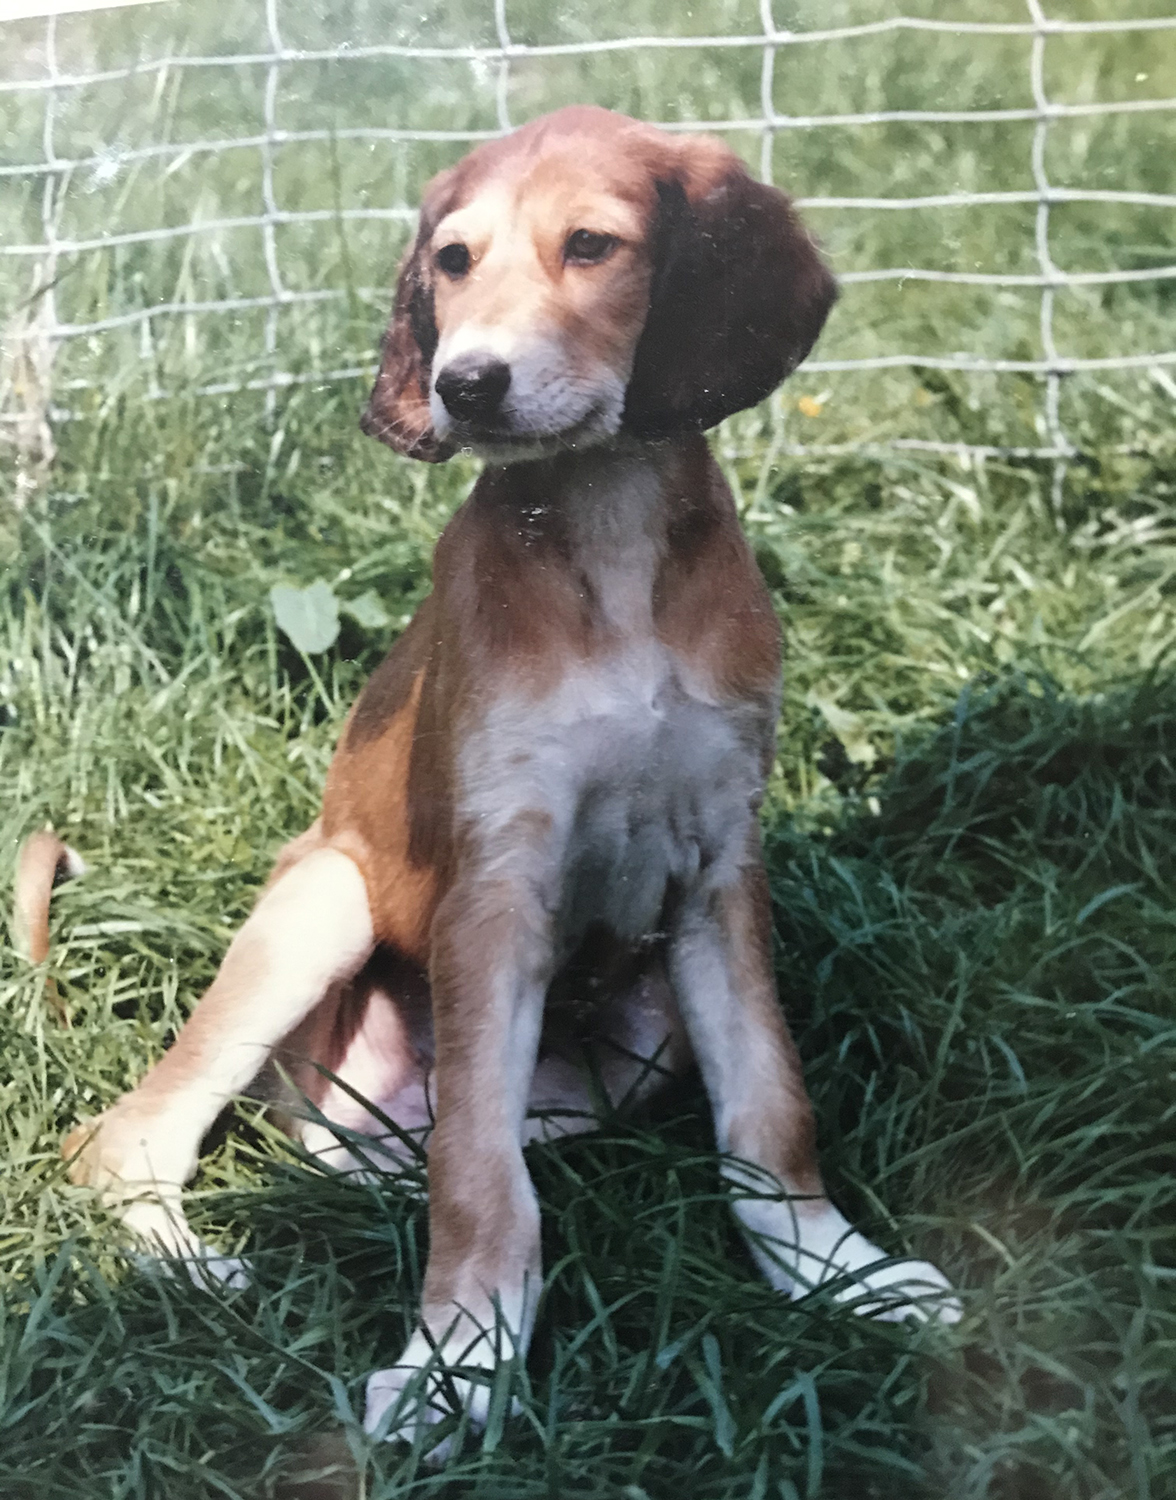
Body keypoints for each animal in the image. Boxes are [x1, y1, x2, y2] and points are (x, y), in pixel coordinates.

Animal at [25, 102, 954, 1440]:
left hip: (639, 1029)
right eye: (453, 262)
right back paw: (195, 1267)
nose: (463, 382)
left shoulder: (722, 867)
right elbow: (481, 1174)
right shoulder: (498, 881)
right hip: (325, 901)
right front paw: (460, 1358)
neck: (608, 533)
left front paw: (836, 1270)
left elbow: (768, 1110)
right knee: (138, 1135)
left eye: (591, 246)